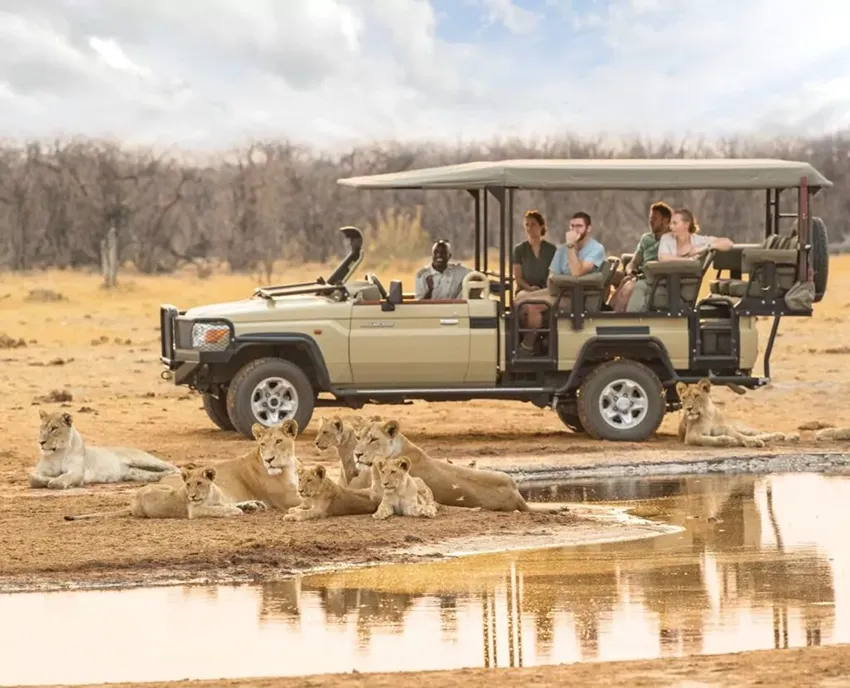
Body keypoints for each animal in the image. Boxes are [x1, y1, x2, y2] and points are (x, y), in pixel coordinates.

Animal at [30, 410, 178, 490]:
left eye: (54, 428)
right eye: (41, 428)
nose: (40, 442)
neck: (58, 453)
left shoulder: (77, 472)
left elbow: (65, 477)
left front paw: (56, 481)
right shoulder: (39, 471)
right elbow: (33, 478)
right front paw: (47, 480)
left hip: (142, 459)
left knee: (173, 467)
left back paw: (176, 474)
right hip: (135, 473)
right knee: (154, 474)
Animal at [64, 465, 267, 520]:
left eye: (199, 483)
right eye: (188, 485)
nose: (192, 496)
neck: (209, 495)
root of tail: (132, 504)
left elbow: (229, 504)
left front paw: (252, 505)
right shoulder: (195, 511)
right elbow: (219, 509)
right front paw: (237, 511)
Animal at [158, 420, 303, 510]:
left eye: (279, 441)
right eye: (263, 444)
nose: (269, 460)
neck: (289, 465)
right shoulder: (286, 498)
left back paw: (251, 506)